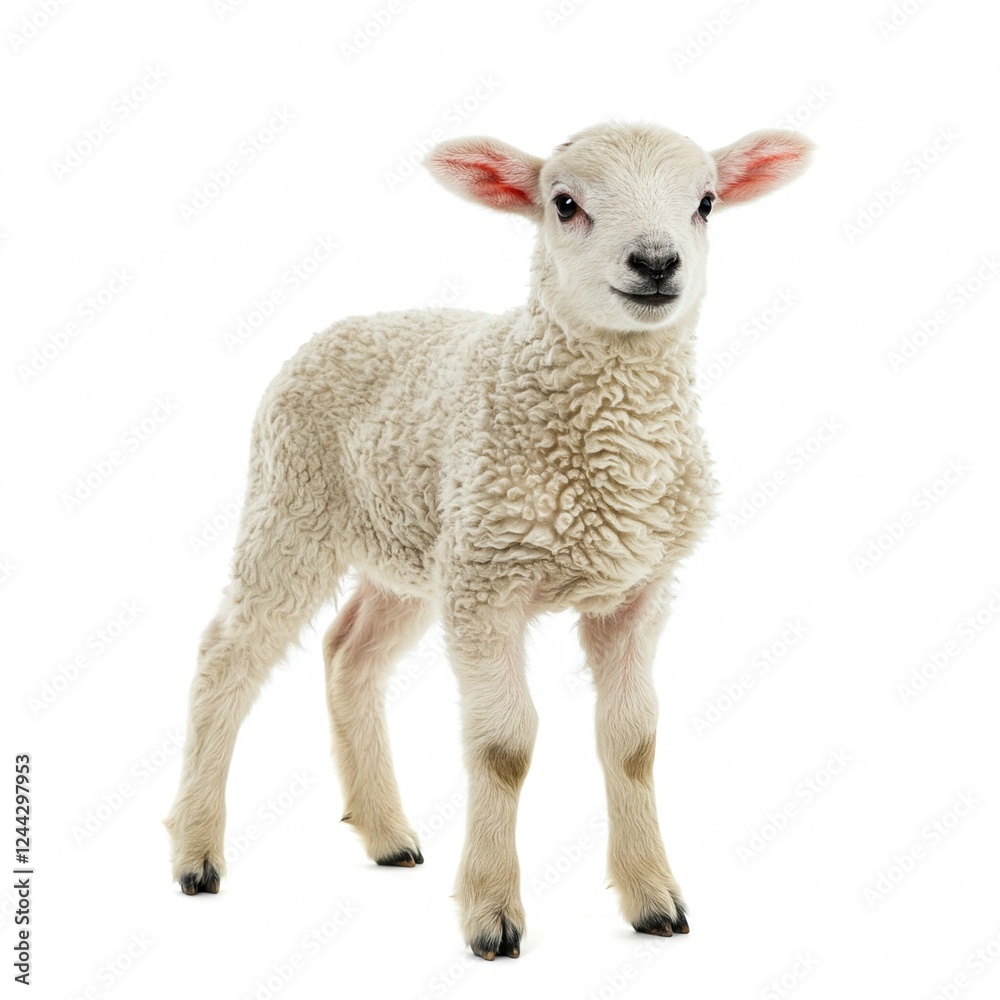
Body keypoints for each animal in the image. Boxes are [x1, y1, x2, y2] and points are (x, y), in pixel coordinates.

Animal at [165, 120, 814, 959]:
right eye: (564, 203)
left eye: (706, 202)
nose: (655, 262)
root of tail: (343, 325)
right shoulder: (488, 587)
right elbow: (504, 749)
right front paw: (493, 914)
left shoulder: (637, 590)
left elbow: (632, 741)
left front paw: (653, 900)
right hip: (293, 504)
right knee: (227, 656)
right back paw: (195, 852)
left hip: (414, 548)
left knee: (349, 652)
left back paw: (386, 834)